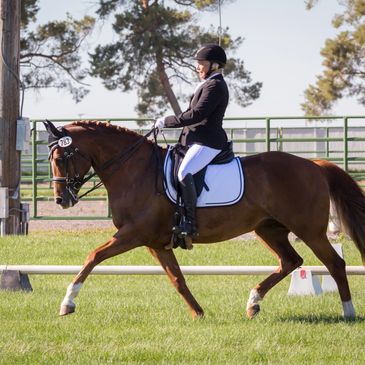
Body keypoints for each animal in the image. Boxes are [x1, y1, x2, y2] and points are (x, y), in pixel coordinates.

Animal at [44, 119, 364, 318]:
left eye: (60, 158)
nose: (61, 200)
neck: (134, 170)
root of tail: (314, 165)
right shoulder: (155, 243)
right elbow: (177, 279)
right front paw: (198, 313)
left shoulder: (133, 234)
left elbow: (93, 256)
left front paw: (67, 303)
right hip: (269, 229)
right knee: (290, 261)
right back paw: (253, 303)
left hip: (309, 230)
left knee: (335, 263)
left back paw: (348, 312)